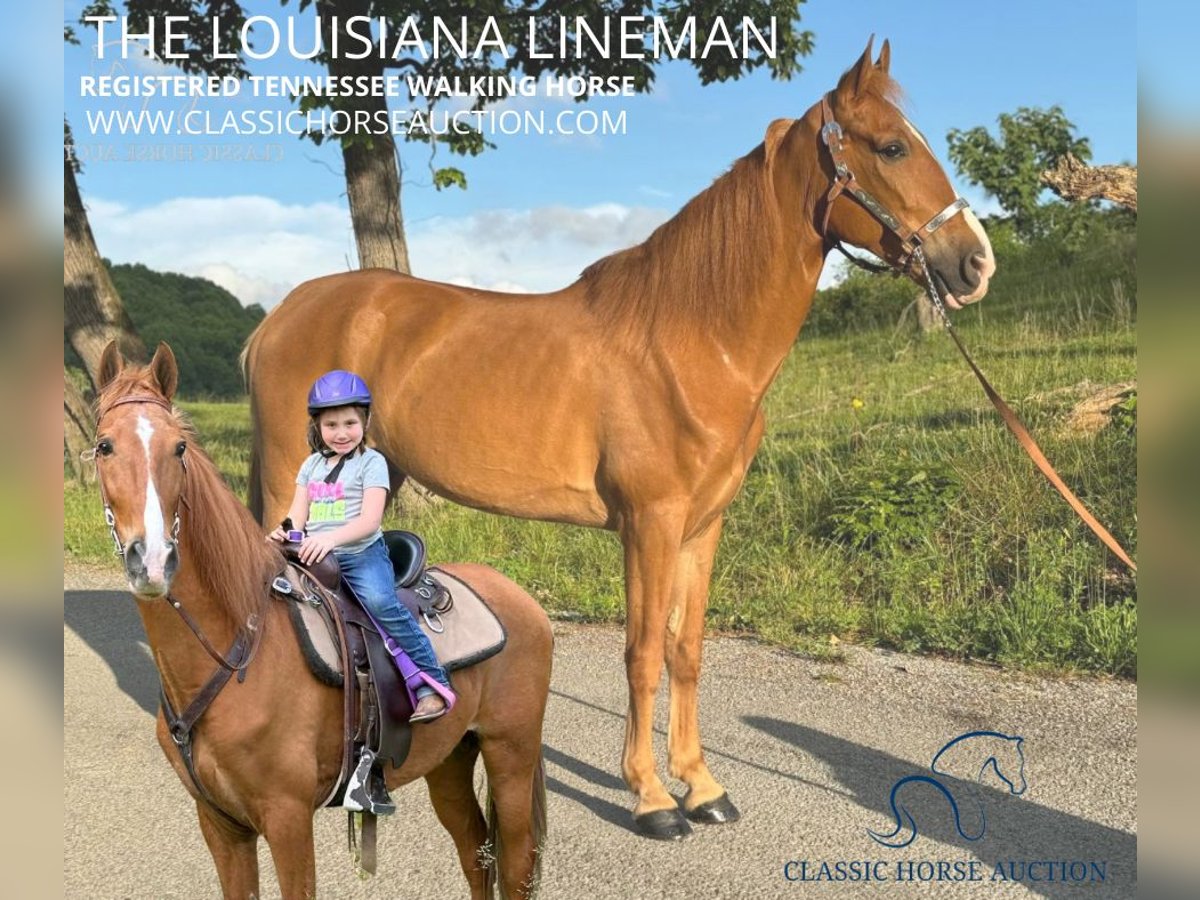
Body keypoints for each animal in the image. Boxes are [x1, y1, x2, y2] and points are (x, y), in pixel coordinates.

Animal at [92, 340, 552, 897]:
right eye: (104, 446)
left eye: (179, 448)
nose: (153, 560)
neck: (238, 655)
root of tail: (519, 598)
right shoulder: (221, 825)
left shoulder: (288, 820)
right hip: (448, 759)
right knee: (475, 851)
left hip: (511, 755)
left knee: (517, 864)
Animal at [241, 40, 993, 844]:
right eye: (891, 147)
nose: (976, 262)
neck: (690, 339)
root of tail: (280, 315)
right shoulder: (650, 525)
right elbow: (643, 654)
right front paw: (654, 798)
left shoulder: (701, 527)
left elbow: (686, 651)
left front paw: (703, 786)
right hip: (296, 477)